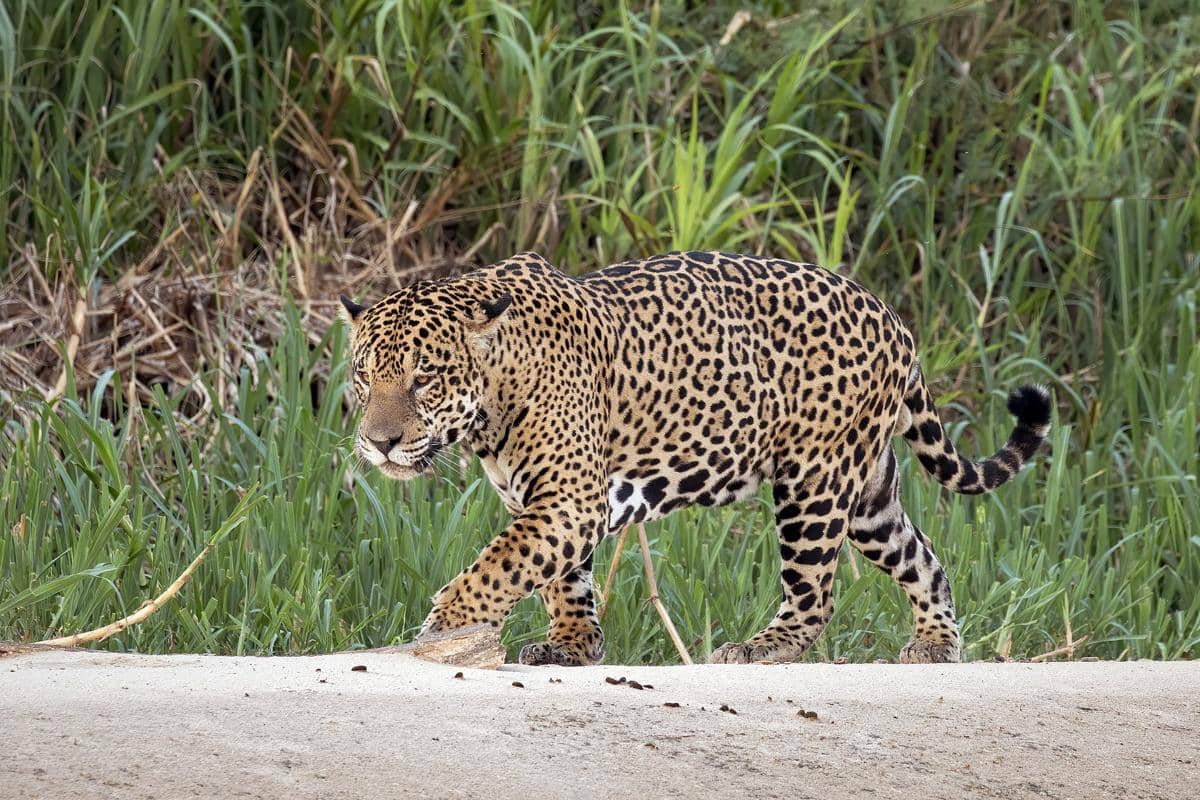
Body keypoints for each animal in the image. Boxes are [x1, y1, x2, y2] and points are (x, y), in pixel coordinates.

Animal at [340, 250, 1051, 666]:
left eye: (424, 380)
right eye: (364, 375)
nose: (378, 442)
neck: (492, 401)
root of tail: (892, 317)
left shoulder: (569, 501)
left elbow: (499, 565)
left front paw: (444, 625)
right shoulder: (546, 502)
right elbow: (557, 576)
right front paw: (573, 645)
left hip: (814, 483)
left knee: (814, 593)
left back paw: (763, 649)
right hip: (869, 493)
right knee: (923, 558)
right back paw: (935, 645)